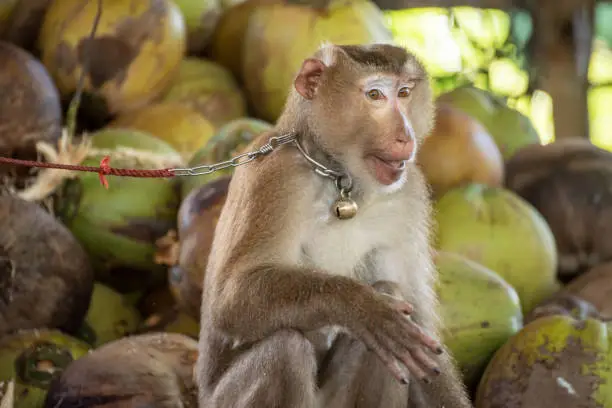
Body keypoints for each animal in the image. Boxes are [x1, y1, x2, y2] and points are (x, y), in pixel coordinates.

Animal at [196, 42, 474, 408]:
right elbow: (231, 298)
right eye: (375, 95)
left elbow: (422, 330)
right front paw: (362, 308)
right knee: (285, 350)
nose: (405, 136)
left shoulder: (408, 194)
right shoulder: (274, 174)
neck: (340, 177)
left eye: (404, 93)